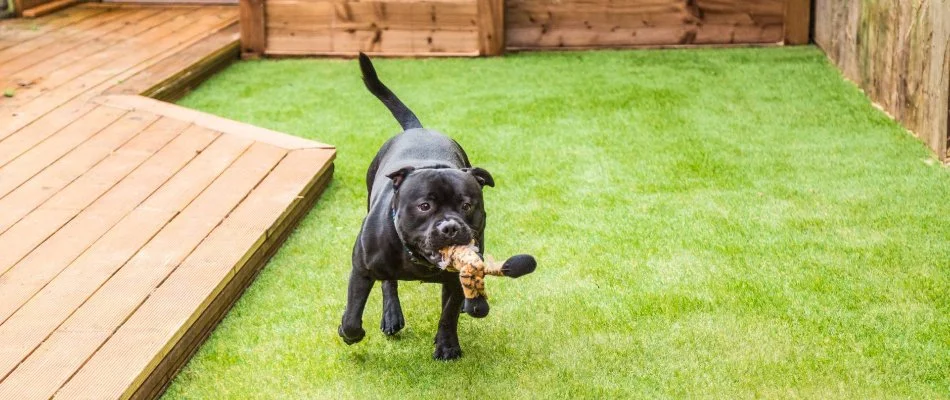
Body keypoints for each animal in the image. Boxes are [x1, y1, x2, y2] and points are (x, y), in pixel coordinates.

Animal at [338, 54, 494, 360]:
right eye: (424, 206)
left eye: (467, 205)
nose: (450, 227)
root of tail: (416, 129)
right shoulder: (361, 269)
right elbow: (352, 315)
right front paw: (349, 333)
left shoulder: (453, 278)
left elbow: (448, 314)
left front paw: (447, 345)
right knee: (388, 283)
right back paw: (391, 316)